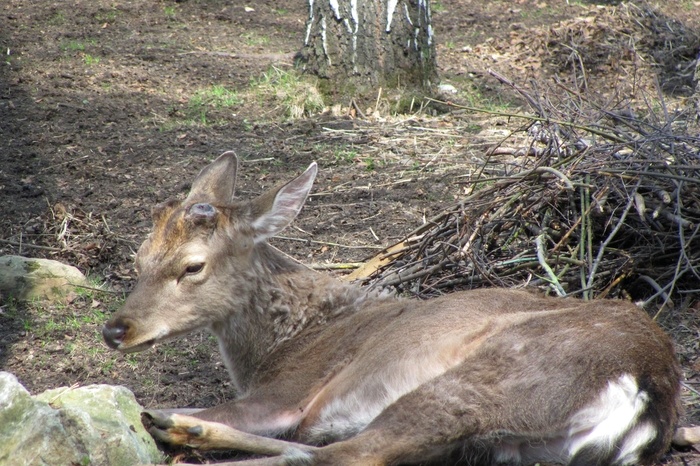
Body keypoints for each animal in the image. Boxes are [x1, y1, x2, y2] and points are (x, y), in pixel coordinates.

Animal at [104, 151, 700, 464]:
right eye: (139, 256)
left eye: (193, 266)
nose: (115, 330)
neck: (278, 345)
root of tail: (647, 387)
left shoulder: (284, 393)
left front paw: (168, 415)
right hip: (504, 447)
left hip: (493, 381)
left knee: (339, 453)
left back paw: (180, 427)